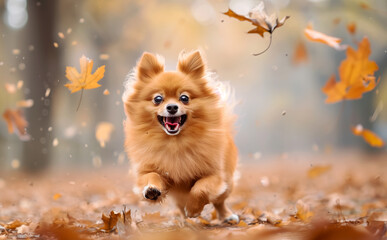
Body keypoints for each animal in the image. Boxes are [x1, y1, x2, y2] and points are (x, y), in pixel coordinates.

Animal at [123, 50, 239, 223]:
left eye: (184, 98)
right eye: (158, 99)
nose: (172, 107)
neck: (175, 142)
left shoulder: (215, 175)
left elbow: (200, 188)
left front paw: (193, 208)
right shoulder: (148, 170)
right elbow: (151, 176)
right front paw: (151, 190)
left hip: (227, 183)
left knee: (219, 202)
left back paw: (226, 216)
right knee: (180, 206)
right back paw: (185, 222)